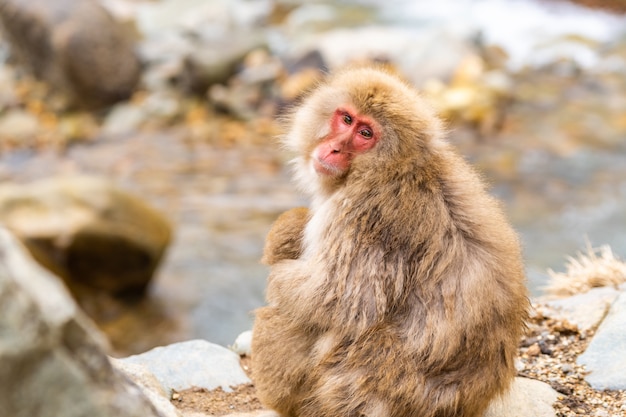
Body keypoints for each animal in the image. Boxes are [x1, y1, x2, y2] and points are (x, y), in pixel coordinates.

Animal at [249, 66, 528, 414]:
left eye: (366, 134)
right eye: (346, 119)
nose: (334, 148)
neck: (395, 167)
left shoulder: (362, 213)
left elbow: (341, 301)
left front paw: (279, 268)